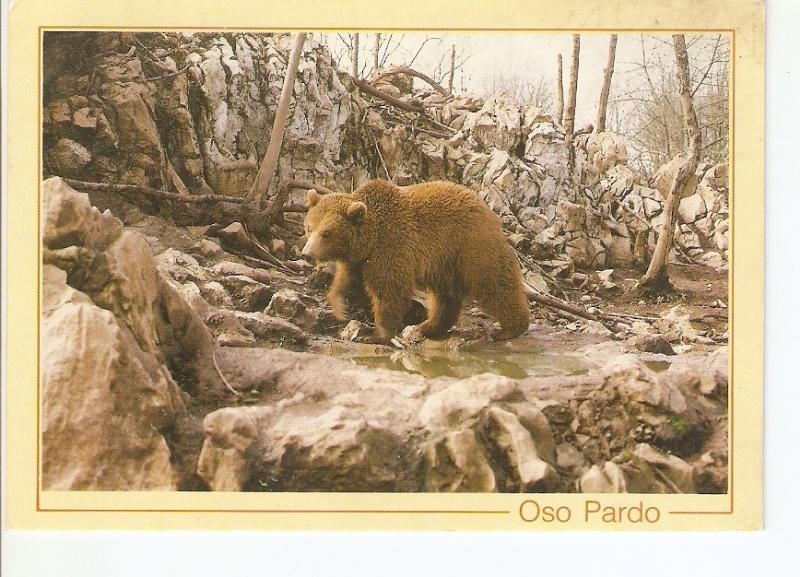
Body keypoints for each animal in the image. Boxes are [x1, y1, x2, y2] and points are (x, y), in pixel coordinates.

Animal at [301, 179, 530, 343]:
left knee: (494, 284)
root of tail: (488, 211)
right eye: (309, 227)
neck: (370, 238)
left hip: (471, 247)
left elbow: (389, 291)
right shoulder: (359, 260)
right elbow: (348, 282)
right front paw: (339, 307)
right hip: (445, 263)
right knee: (445, 297)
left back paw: (510, 328)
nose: (306, 254)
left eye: (327, 233)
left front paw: (376, 334)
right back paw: (429, 326)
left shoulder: (391, 246)